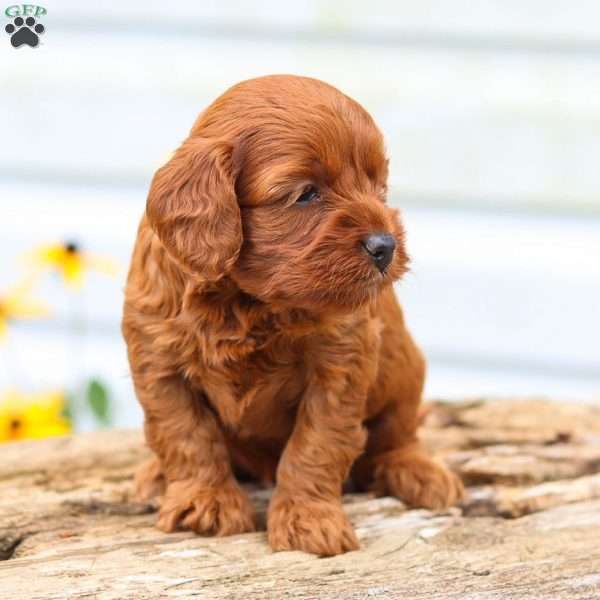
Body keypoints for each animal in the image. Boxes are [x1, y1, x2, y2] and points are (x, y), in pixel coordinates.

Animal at [123, 74, 464, 556]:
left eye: (378, 187)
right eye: (305, 194)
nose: (386, 245)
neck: (249, 301)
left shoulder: (340, 364)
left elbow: (316, 443)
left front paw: (308, 518)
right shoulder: (160, 362)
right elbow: (186, 435)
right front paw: (205, 502)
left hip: (404, 370)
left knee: (397, 435)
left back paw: (419, 471)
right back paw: (154, 476)